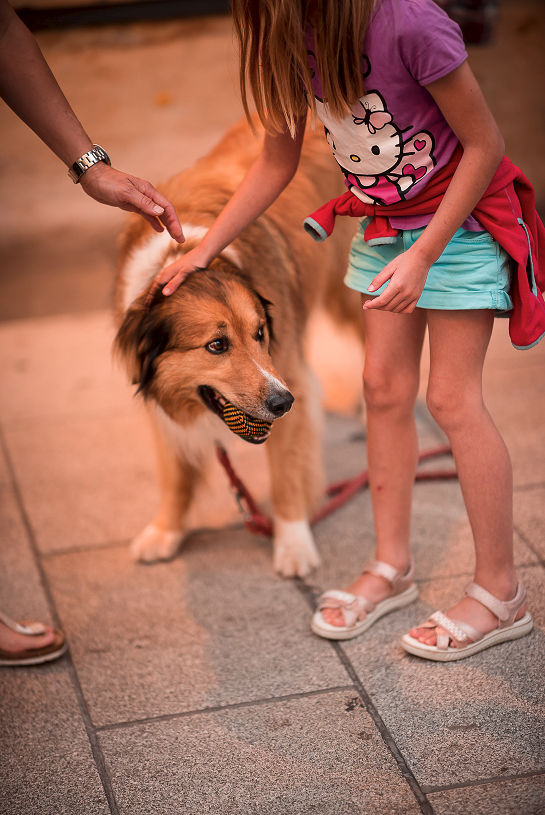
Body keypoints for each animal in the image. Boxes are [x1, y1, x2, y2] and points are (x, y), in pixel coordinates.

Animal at [113, 119, 362, 580]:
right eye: (216, 345)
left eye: (260, 333)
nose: (283, 403)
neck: (185, 257)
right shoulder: (160, 404)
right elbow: (176, 473)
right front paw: (165, 530)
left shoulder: (291, 374)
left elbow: (286, 474)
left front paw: (293, 543)